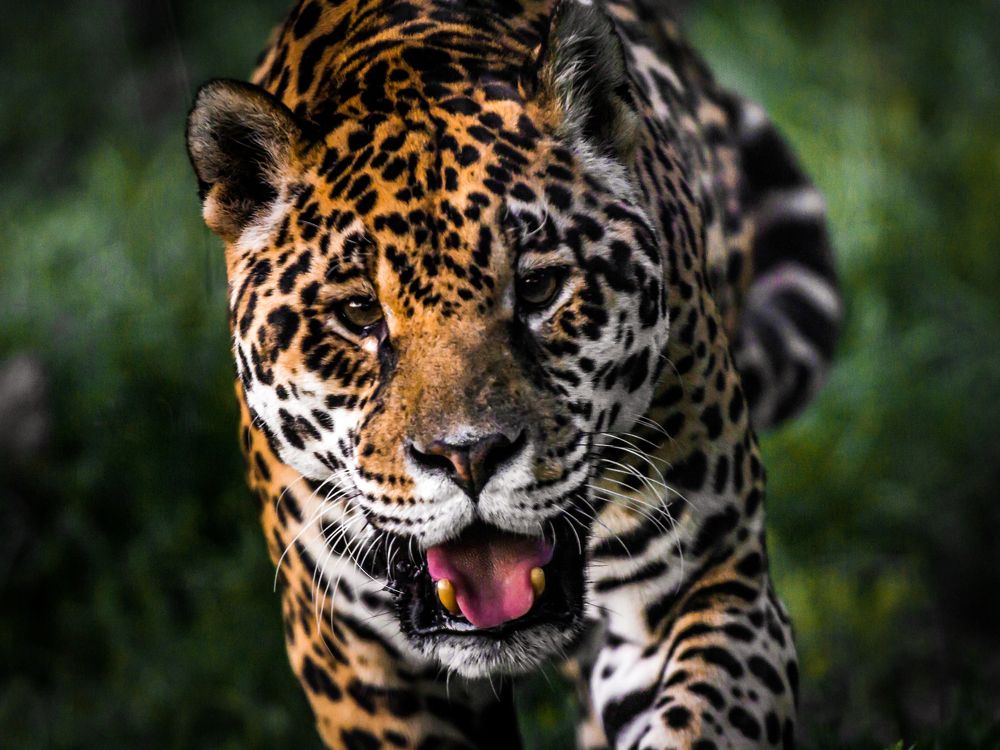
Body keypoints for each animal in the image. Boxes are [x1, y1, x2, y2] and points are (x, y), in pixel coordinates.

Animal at [186, 0, 840, 747]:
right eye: (359, 312)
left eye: (537, 288)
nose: (468, 456)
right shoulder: (358, 663)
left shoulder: (710, 582)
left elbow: (702, 726)